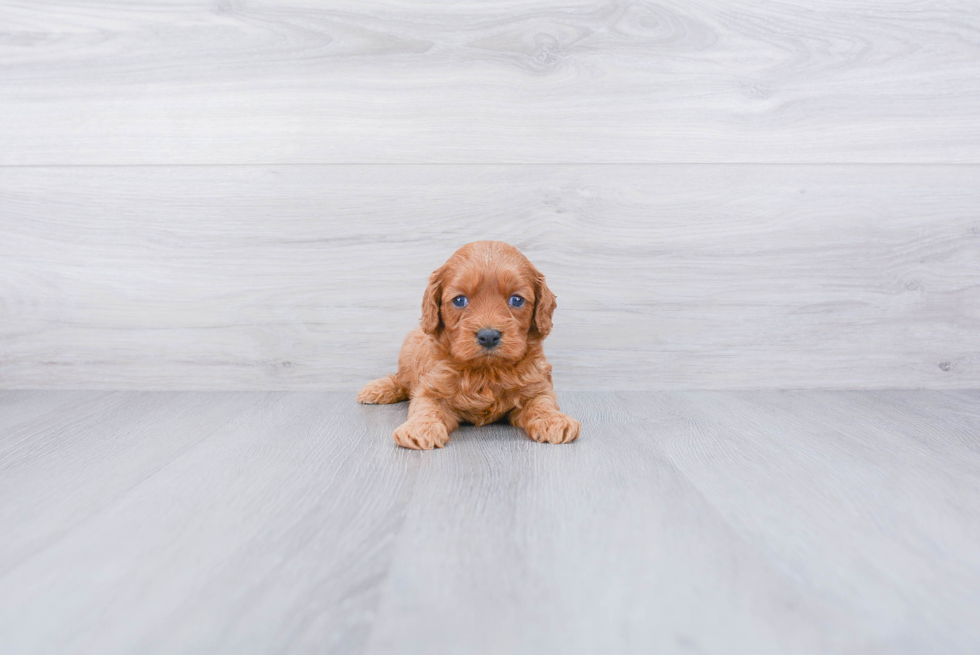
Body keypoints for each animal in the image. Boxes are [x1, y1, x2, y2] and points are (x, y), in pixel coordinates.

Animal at [356, 241, 580, 452]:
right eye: (459, 300)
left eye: (516, 300)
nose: (488, 336)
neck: (486, 371)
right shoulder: (432, 388)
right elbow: (425, 406)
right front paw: (421, 427)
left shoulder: (536, 387)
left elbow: (543, 403)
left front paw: (554, 420)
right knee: (401, 380)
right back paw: (377, 389)